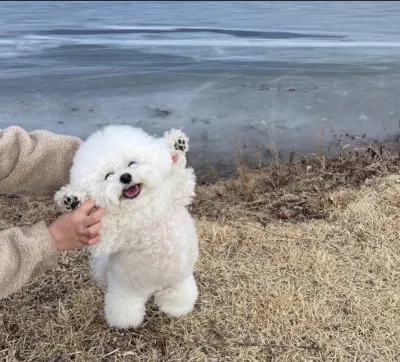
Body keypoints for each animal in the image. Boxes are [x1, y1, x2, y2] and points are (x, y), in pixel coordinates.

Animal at [54, 126, 198, 330]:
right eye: (108, 175)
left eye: (132, 163)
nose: (125, 177)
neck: (140, 207)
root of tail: (154, 289)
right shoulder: (107, 235)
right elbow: (102, 235)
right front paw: (72, 200)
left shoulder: (175, 194)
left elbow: (179, 177)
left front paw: (177, 146)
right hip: (124, 296)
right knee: (125, 312)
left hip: (179, 284)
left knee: (177, 298)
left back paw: (174, 308)